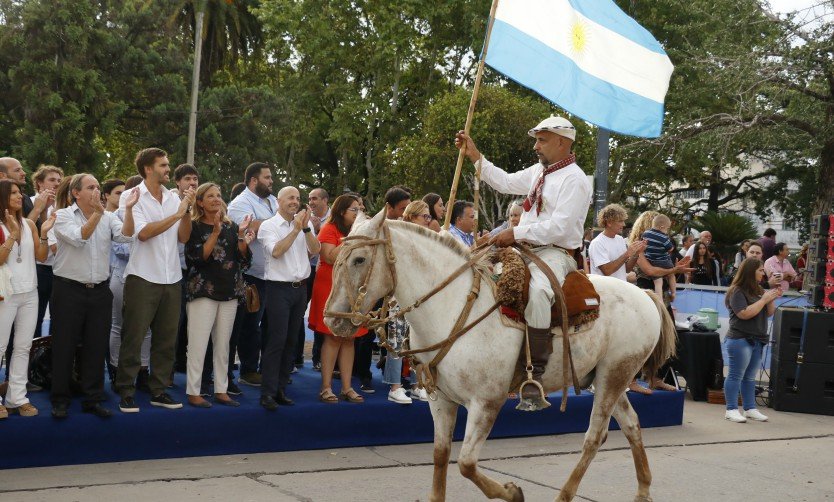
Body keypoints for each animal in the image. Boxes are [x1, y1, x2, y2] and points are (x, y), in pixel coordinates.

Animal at [324, 210, 676, 500]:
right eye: (336, 257)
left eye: (359, 259)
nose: (332, 319)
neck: (453, 308)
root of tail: (644, 294)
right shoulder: (441, 401)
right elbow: (441, 458)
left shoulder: (486, 403)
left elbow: (466, 463)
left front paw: (512, 492)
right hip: (607, 377)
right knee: (631, 424)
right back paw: (643, 490)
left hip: (613, 376)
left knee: (595, 436)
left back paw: (566, 494)